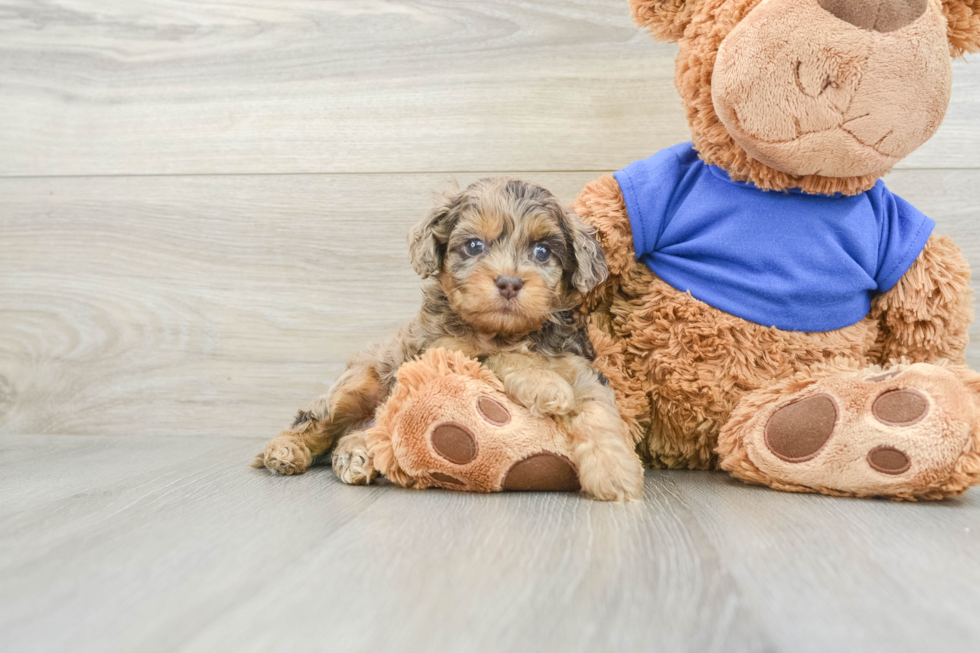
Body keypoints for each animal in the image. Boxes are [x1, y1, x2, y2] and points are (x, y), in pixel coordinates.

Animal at [253, 177, 644, 500]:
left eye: (542, 251)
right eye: (473, 246)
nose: (509, 282)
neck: (507, 332)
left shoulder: (580, 367)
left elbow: (597, 411)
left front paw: (615, 471)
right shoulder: (445, 352)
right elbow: (498, 356)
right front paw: (546, 385)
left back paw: (356, 451)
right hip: (360, 381)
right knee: (314, 418)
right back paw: (285, 451)